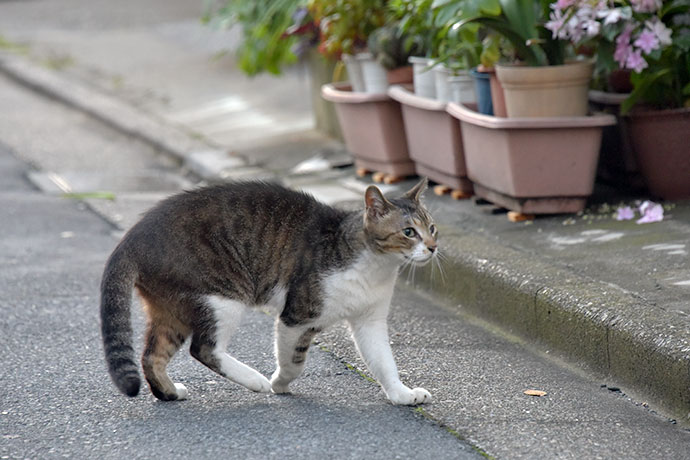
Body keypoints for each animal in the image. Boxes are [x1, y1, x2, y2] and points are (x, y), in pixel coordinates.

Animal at [99, 178, 436, 404]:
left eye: (432, 227)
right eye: (409, 232)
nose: (433, 247)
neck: (376, 268)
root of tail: (131, 236)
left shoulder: (370, 321)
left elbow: (383, 360)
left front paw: (401, 394)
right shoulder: (297, 316)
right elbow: (294, 361)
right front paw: (279, 383)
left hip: (174, 308)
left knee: (152, 356)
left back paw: (170, 392)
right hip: (223, 294)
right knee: (204, 348)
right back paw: (255, 380)